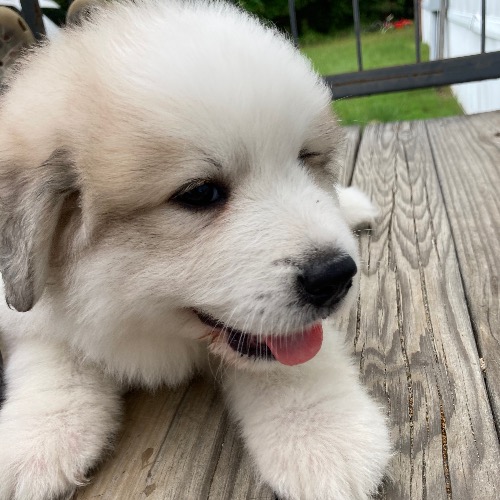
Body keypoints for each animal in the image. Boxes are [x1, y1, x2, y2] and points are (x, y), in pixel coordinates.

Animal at [0, 1, 390, 498]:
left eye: (306, 159)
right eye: (201, 194)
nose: (336, 275)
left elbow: (294, 361)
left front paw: (322, 434)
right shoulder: (21, 310)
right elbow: (53, 353)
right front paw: (38, 437)